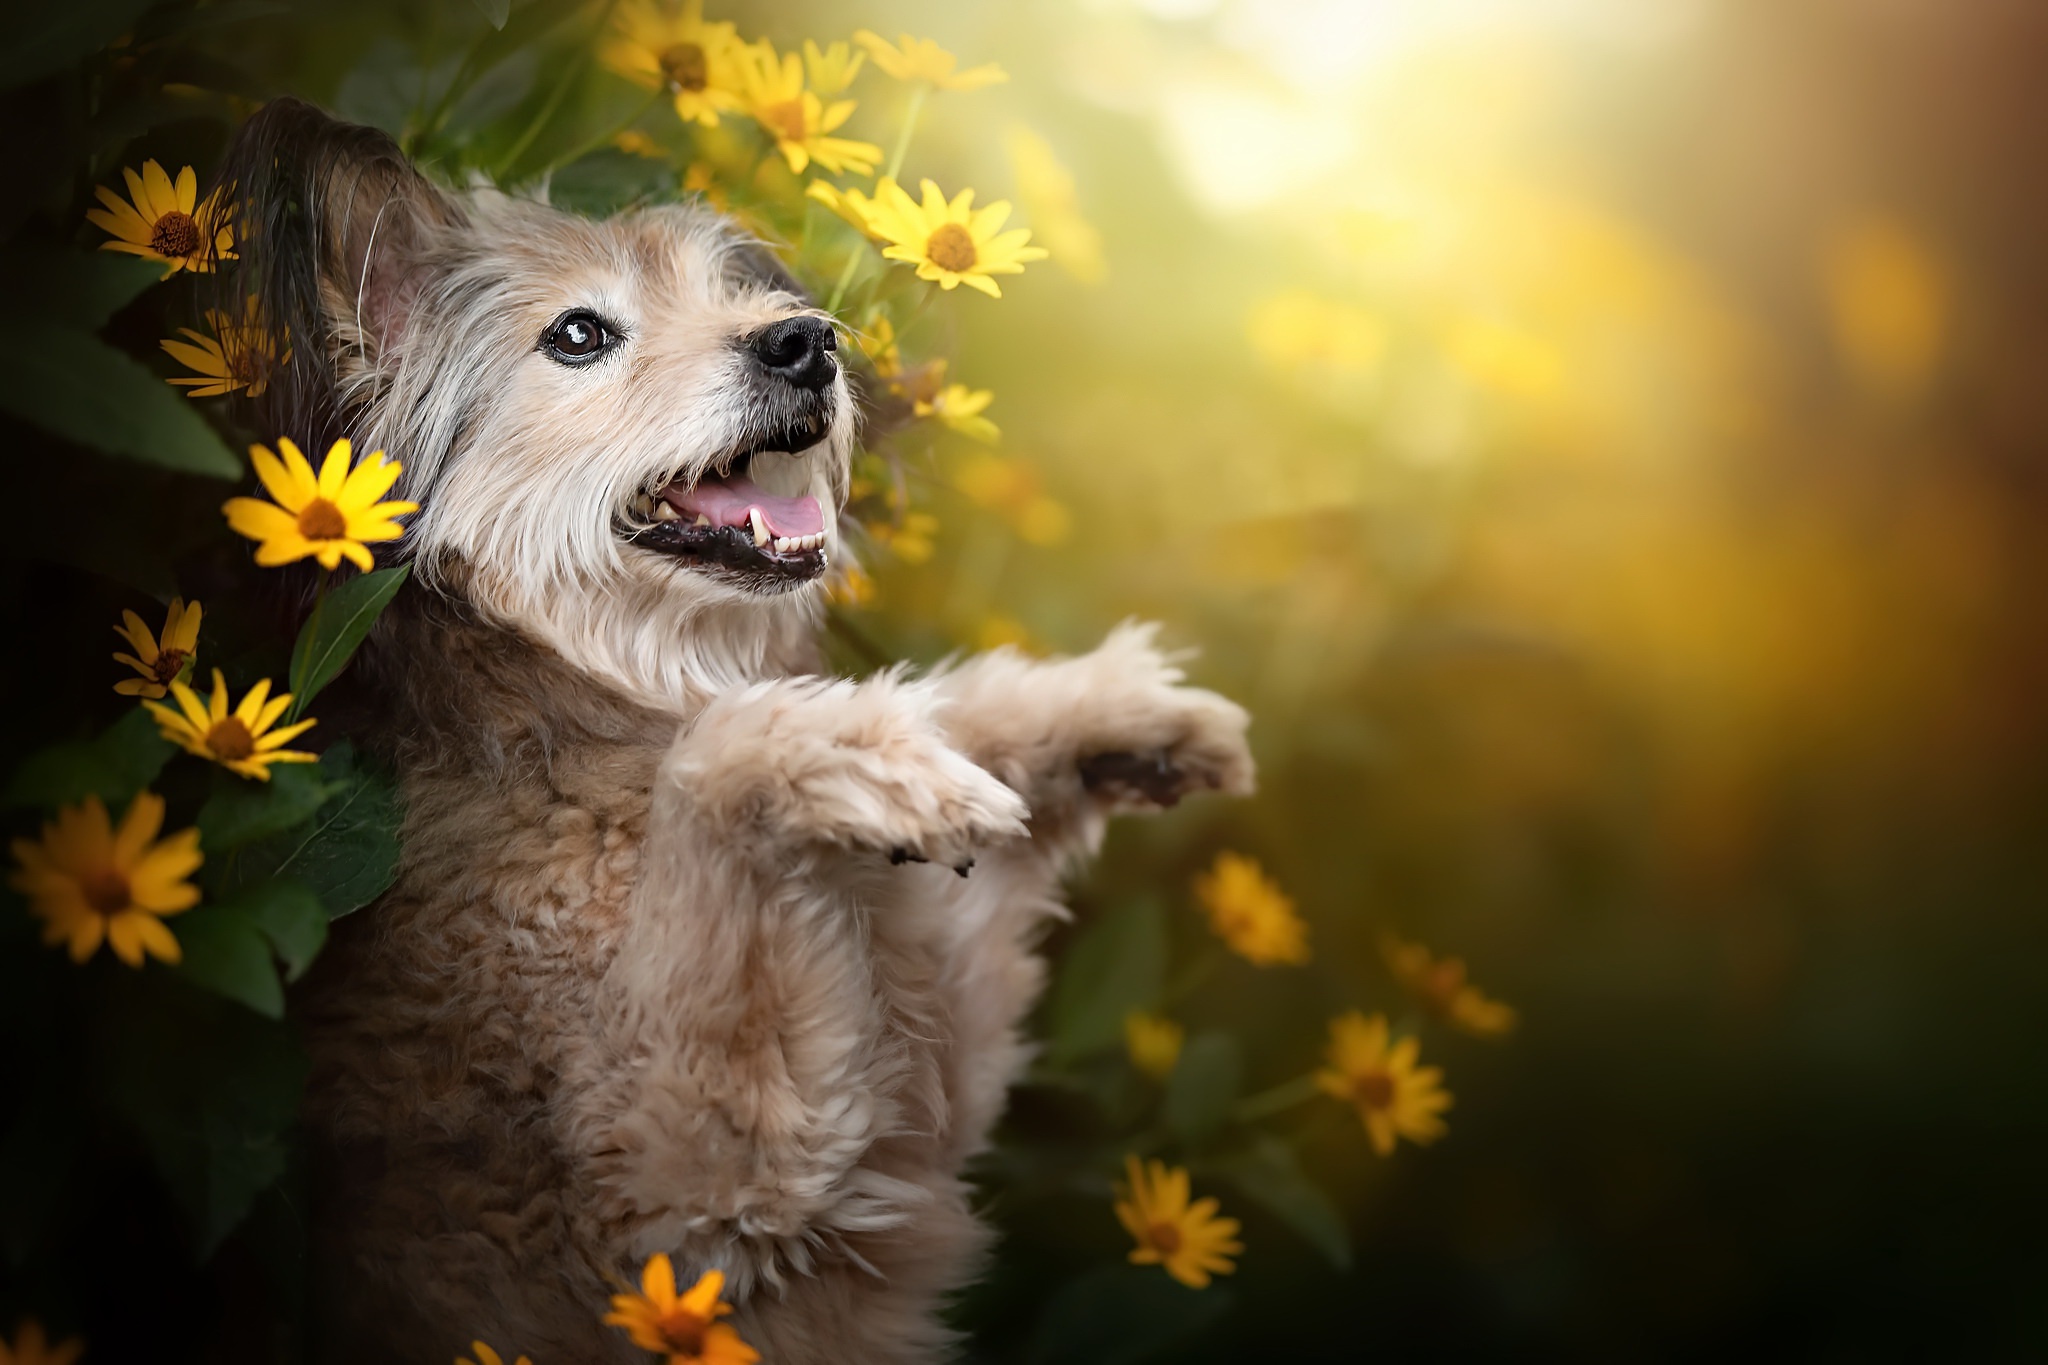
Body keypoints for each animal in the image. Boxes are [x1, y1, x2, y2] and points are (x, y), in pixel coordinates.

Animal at [216, 98, 1253, 1365]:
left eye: (744, 300)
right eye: (577, 335)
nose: (806, 342)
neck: (577, 704)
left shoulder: (925, 1075)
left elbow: (954, 729)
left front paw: (1117, 717)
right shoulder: (676, 1203)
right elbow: (720, 762)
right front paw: (869, 765)